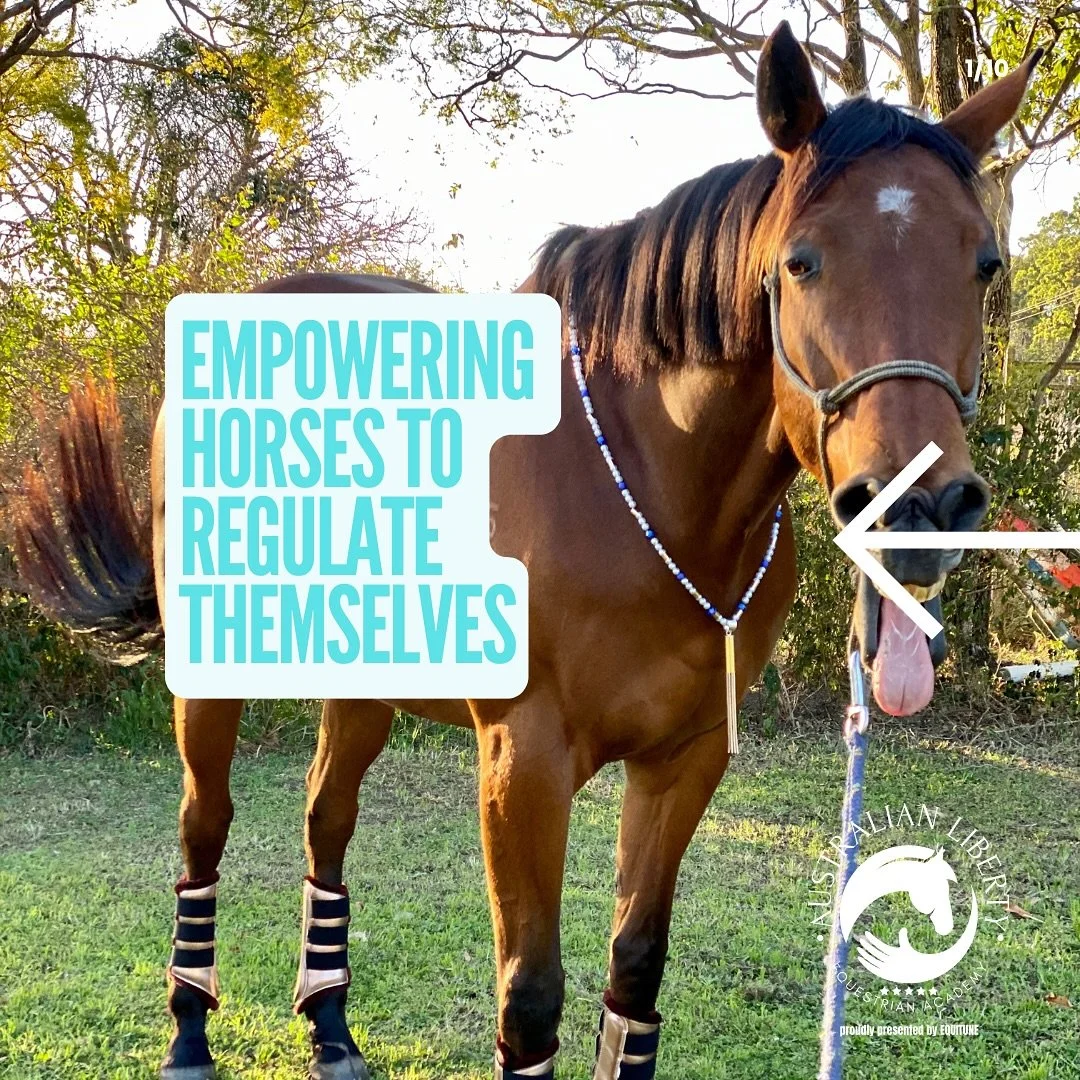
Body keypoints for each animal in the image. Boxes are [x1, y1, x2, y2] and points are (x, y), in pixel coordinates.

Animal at [13, 22, 1038, 1080]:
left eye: (985, 263)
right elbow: (532, 998)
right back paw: (188, 1031)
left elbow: (636, 971)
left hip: (362, 683)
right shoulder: (524, 765)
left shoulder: (685, 761)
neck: (642, 484)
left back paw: (332, 1028)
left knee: (324, 822)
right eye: (802, 262)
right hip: (210, 681)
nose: (924, 506)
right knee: (203, 830)